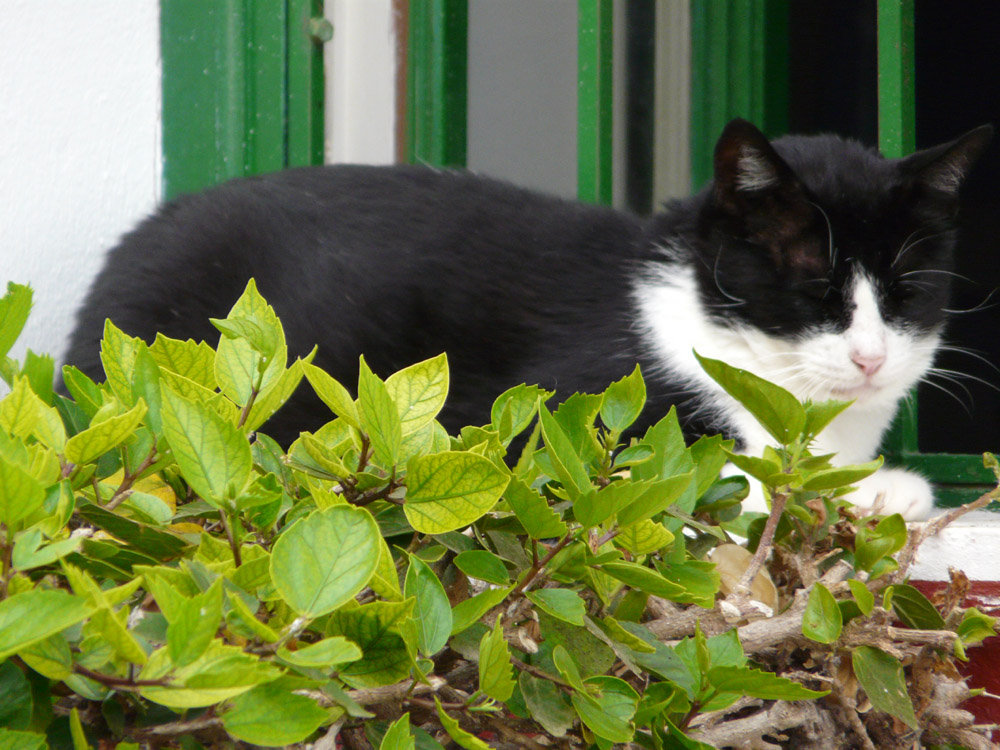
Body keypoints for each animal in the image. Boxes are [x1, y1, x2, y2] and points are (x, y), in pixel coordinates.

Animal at [64, 120, 992, 520]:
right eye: (813, 285)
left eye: (907, 291)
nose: (870, 358)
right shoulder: (559, 420)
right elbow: (725, 480)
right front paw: (866, 489)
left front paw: (878, 484)